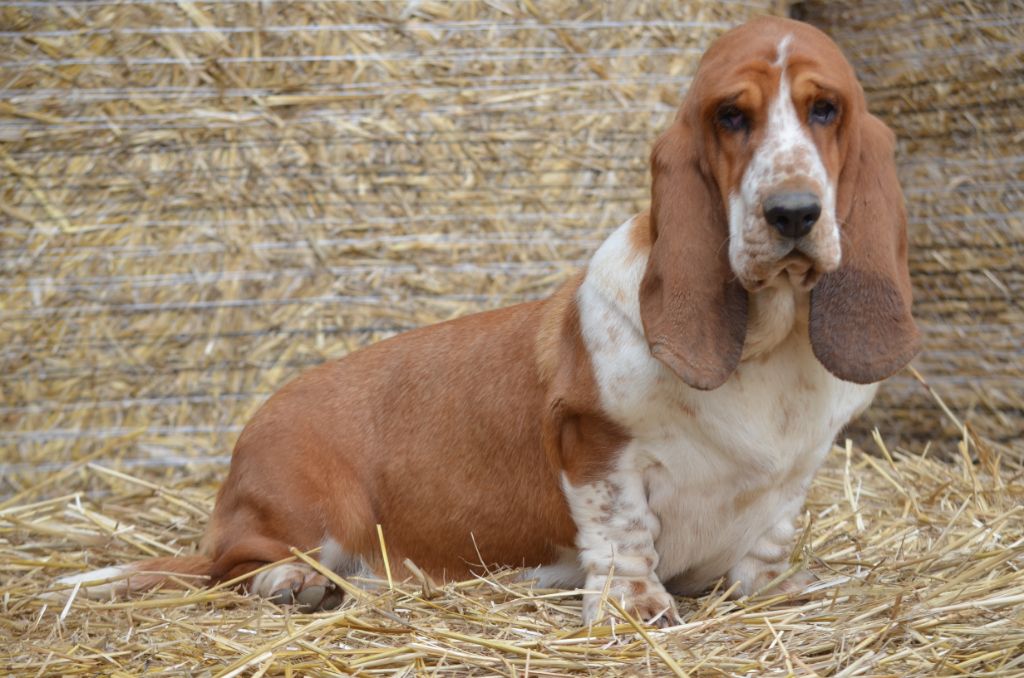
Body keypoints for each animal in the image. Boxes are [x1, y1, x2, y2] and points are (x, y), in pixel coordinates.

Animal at [56, 18, 921, 626]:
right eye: (732, 117)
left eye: (825, 109)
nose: (793, 214)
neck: (765, 343)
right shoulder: (592, 443)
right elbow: (623, 534)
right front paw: (636, 612)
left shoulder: (792, 477)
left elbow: (766, 547)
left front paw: (777, 591)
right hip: (312, 516)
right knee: (233, 565)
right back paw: (291, 580)